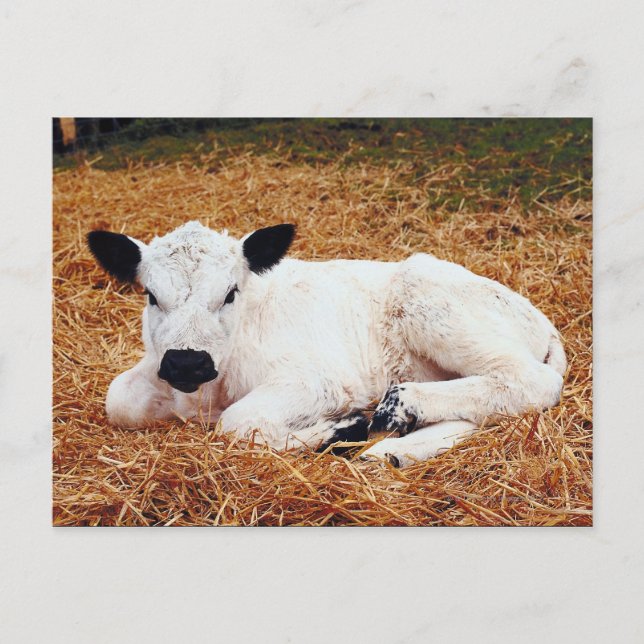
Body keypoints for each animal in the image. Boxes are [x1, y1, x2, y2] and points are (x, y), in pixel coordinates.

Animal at [87, 221, 566, 467]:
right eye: (151, 295)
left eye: (229, 293)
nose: (187, 363)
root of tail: (544, 322)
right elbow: (118, 398)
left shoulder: (321, 381)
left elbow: (238, 423)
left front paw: (341, 428)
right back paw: (395, 448)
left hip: (430, 300)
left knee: (530, 380)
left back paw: (398, 408)